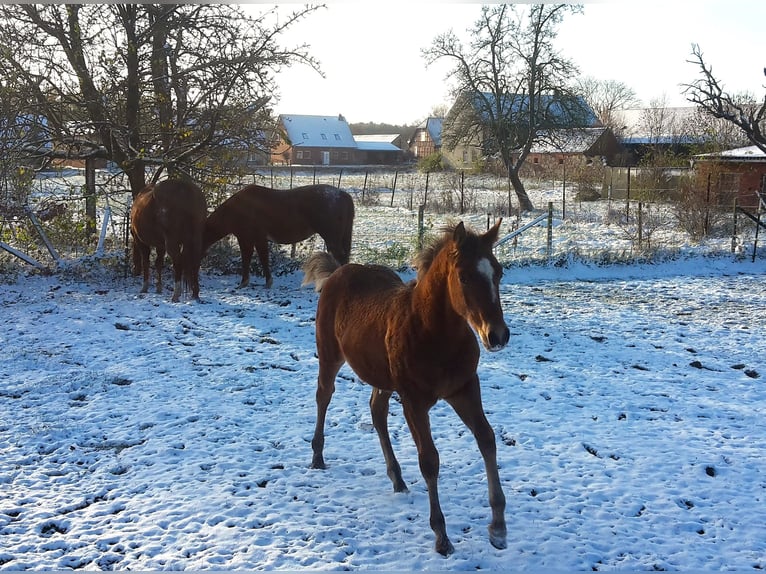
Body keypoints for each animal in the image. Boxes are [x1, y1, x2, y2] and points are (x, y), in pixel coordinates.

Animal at [202, 184, 356, 290]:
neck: (239, 209)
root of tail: (343, 195)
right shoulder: (248, 239)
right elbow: (248, 258)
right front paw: (245, 282)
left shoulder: (255, 238)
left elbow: (261, 258)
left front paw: (264, 282)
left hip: (331, 237)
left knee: (339, 256)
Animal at [304, 222, 512, 560]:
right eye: (464, 276)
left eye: (499, 272)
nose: (497, 335)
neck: (435, 333)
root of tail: (339, 270)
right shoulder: (414, 402)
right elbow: (429, 460)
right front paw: (442, 536)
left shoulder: (465, 389)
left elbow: (487, 439)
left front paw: (498, 528)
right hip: (330, 355)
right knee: (324, 395)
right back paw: (318, 456)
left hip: (381, 376)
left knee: (377, 411)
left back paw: (397, 478)